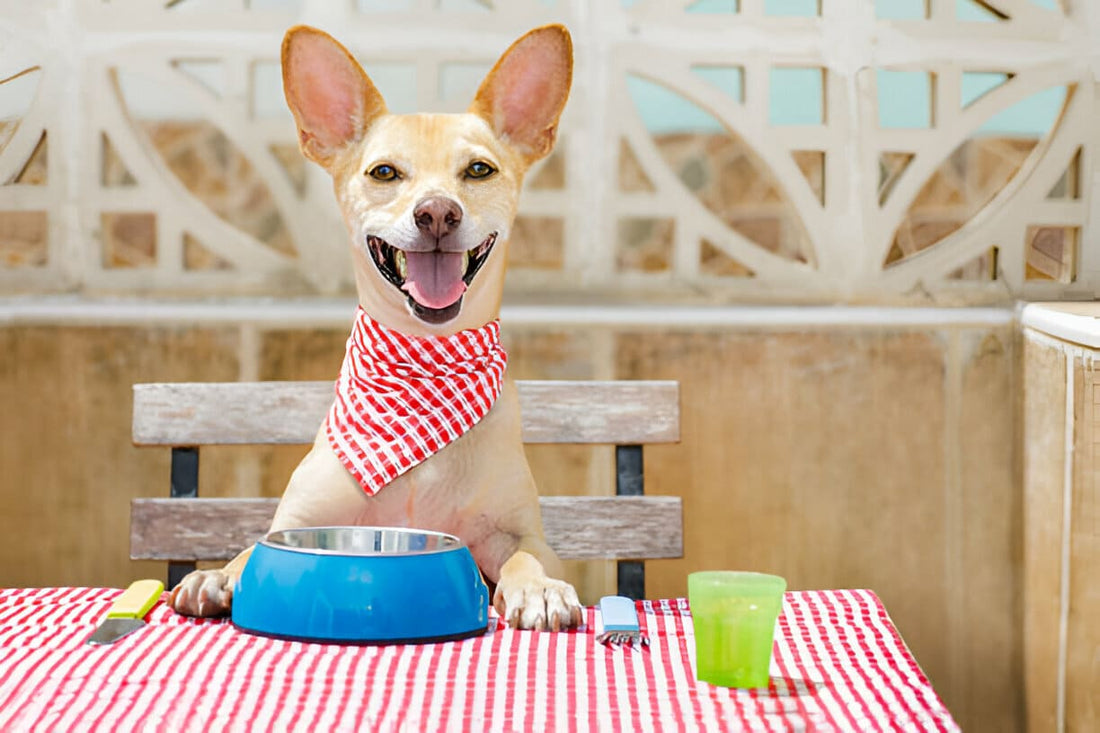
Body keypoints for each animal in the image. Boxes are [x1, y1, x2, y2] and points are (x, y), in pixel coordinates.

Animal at [169, 22, 585, 629]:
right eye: (384, 172)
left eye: (478, 169)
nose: (437, 212)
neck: (420, 366)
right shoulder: (295, 522)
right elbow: (250, 549)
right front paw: (217, 575)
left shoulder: (521, 532)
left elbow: (527, 557)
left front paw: (539, 588)